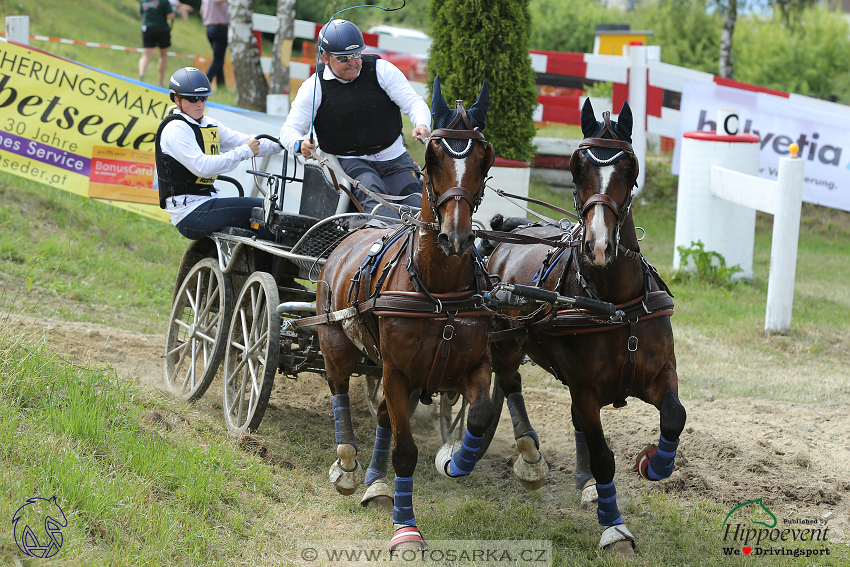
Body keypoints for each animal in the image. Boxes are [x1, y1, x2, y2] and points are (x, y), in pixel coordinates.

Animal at [314, 77, 494, 552]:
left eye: (484, 159)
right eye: (432, 157)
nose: (455, 236)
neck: (439, 292)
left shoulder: (471, 366)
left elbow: (480, 416)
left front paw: (457, 460)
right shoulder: (396, 373)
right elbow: (406, 451)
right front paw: (405, 530)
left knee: (381, 416)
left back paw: (376, 482)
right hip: (335, 341)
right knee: (339, 386)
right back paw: (347, 463)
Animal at [484, 100, 684, 556]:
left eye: (628, 168)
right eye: (576, 168)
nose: (599, 245)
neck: (615, 304)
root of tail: (508, 234)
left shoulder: (660, 374)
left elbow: (674, 417)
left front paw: (655, 464)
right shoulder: (588, 390)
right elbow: (604, 455)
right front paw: (615, 529)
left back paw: (585, 481)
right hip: (504, 341)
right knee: (508, 382)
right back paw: (522, 456)